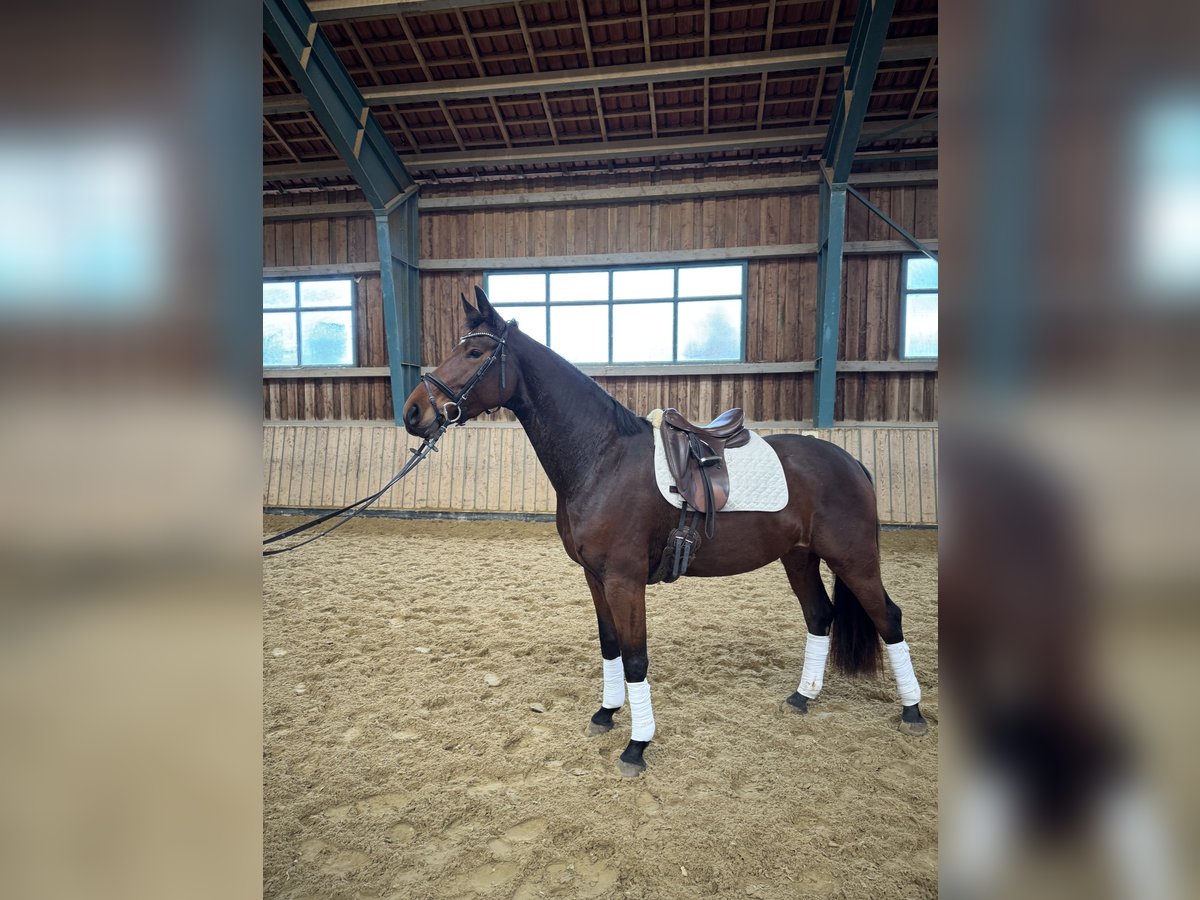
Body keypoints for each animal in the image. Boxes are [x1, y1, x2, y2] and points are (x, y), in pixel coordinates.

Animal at [403, 286, 926, 777]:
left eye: (475, 352)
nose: (413, 413)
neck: (603, 459)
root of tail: (849, 461)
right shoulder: (595, 577)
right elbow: (611, 645)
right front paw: (606, 713)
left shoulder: (625, 579)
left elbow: (636, 658)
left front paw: (637, 745)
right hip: (799, 556)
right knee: (820, 616)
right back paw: (803, 696)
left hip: (853, 558)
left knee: (888, 618)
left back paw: (913, 711)